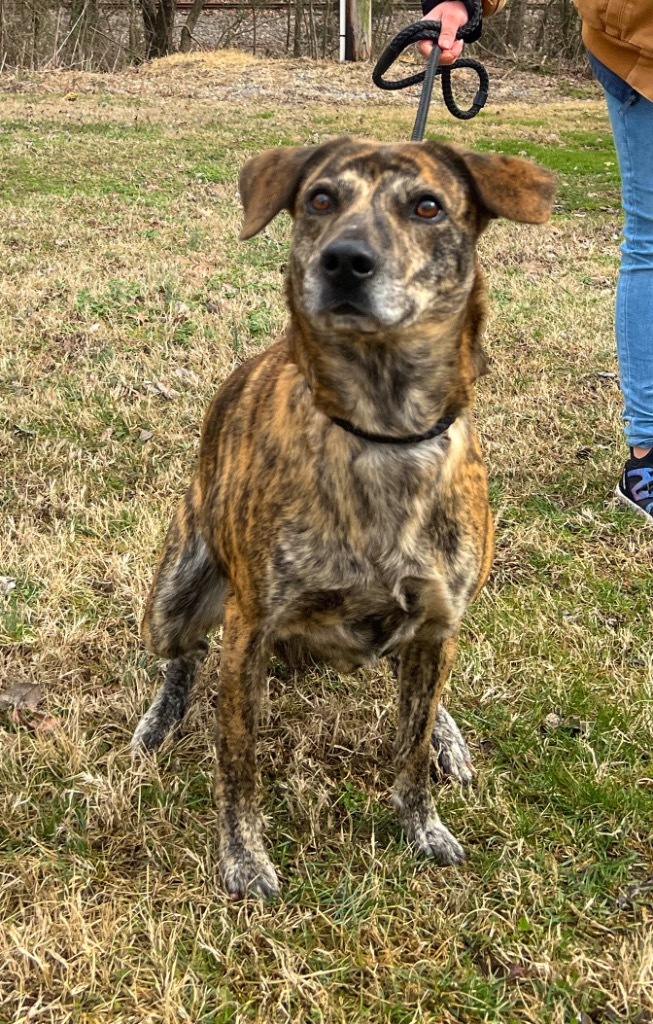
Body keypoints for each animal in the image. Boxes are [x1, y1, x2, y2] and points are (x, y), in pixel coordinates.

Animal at [134, 138, 556, 897]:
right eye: (321, 199)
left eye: (428, 206)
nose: (345, 261)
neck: (381, 431)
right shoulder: (250, 627)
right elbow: (237, 760)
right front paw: (243, 855)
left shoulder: (436, 619)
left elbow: (410, 748)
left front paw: (422, 824)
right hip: (174, 595)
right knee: (186, 656)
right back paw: (161, 718)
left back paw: (448, 735)